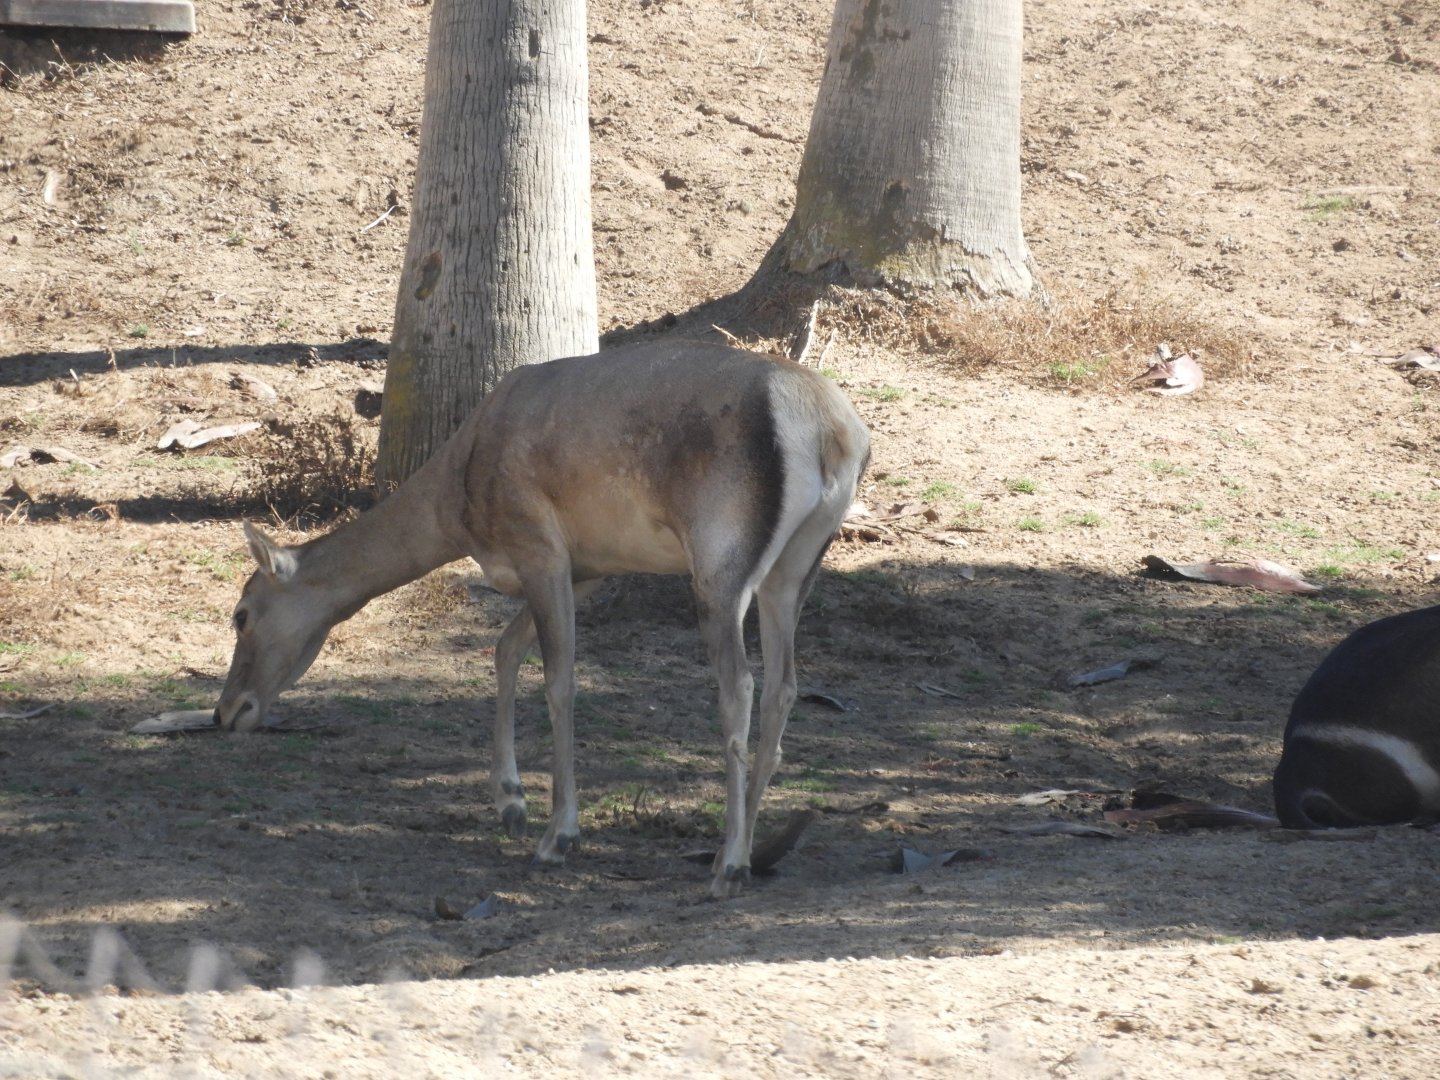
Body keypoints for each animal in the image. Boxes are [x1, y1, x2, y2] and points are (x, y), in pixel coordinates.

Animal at [215, 340, 870, 897]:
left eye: (241, 615)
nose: (226, 713)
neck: (458, 503)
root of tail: (835, 434)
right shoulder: (590, 566)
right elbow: (506, 649)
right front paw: (509, 801)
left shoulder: (538, 546)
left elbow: (558, 680)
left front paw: (558, 834)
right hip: (795, 566)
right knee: (785, 686)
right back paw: (750, 851)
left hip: (720, 557)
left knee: (740, 686)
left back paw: (729, 863)